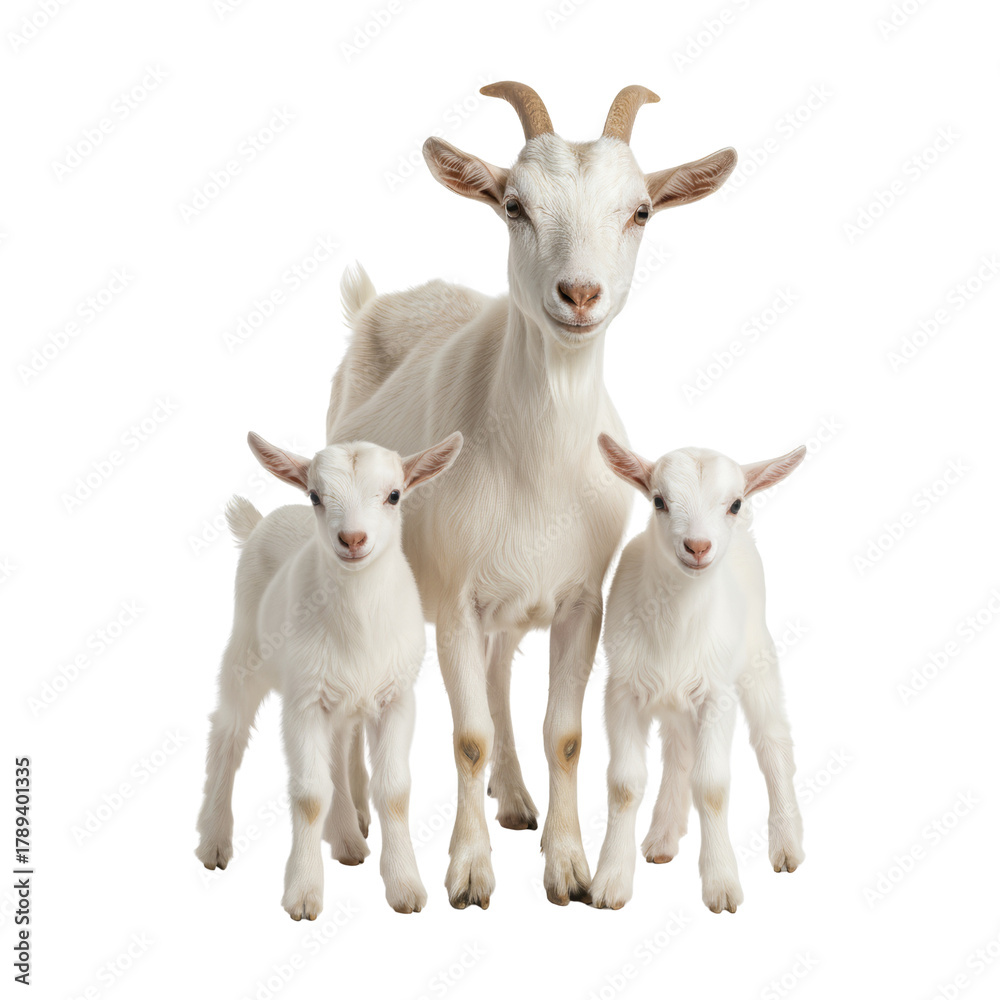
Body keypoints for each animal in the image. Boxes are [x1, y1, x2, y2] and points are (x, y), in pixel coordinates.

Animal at [195, 430, 463, 919]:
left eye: (394, 495)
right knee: (228, 732)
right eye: (315, 496)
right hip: (245, 653)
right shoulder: (302, 702)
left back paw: (347, 841)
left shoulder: (397, 697)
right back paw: (214, 841)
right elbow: (308, 794)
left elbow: (393, 791)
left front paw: (405, 886)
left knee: (337, 754)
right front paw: (303, 892)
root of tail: (261, 522)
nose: (352, 539)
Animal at [326, 82, 737, 908]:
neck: (535, 468)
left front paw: (568, 865)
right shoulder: (454, 602)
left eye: (641, 210)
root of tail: (378, 303)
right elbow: (468, 735)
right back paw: (358, 830)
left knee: (498, 675)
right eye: (513, 205)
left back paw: (516, 800)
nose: (579, 294)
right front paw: (469, 873)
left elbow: (565, 735)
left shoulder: (579, 600)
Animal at [590, 435, 806, 913]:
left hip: (757, 657)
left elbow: (711, 785)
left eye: (735, 503)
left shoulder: (717, 694)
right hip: (674, 700)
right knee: (679, 752)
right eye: (658, 500)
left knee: (773, 741)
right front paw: (611, 881)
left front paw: (721, 885)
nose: (698, 547)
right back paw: (662, 838)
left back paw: (787, 845)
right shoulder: (621, 689)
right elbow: (625, 784)